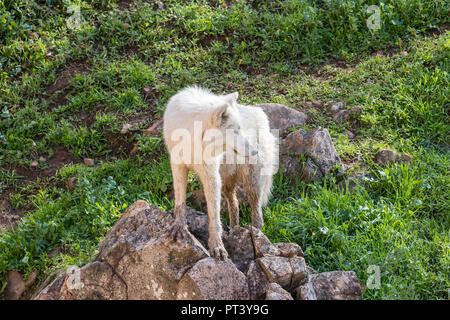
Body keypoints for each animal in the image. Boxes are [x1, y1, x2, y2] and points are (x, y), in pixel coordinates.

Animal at [163, 86, 276, 258]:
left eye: (241, 129)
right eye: (235, 131)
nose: (254, 151)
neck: (194, 139)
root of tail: (261, 113)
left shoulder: (211, 176)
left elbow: (214, 215)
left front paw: (217, 246)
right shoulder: (178, 167)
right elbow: (180, 202)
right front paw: (179, 226)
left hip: (252, 183)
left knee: (257, 214)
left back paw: (256, 235)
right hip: (227, 184)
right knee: (235, 205)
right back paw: (234, 230)